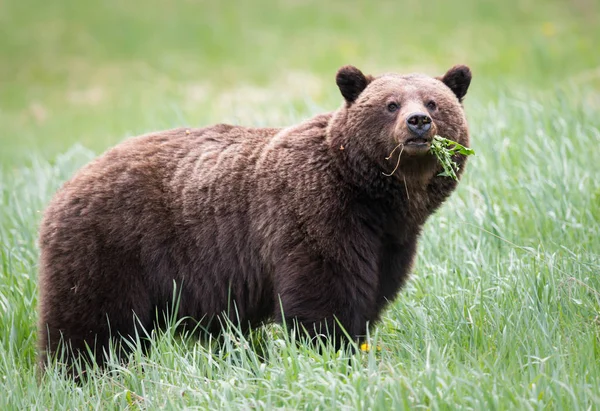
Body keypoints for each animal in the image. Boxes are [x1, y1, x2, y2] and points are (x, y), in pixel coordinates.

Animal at [36, 64, 474, 374]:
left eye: (433, 102)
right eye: (391, 104)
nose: (418, 122)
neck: (375, 198)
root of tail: (64, 188)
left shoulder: (390, 241)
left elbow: (372, 296)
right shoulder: (314, 214)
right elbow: (323, 297)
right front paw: (327, 353)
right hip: (113, 246)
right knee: (91, 326)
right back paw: (75, 374)